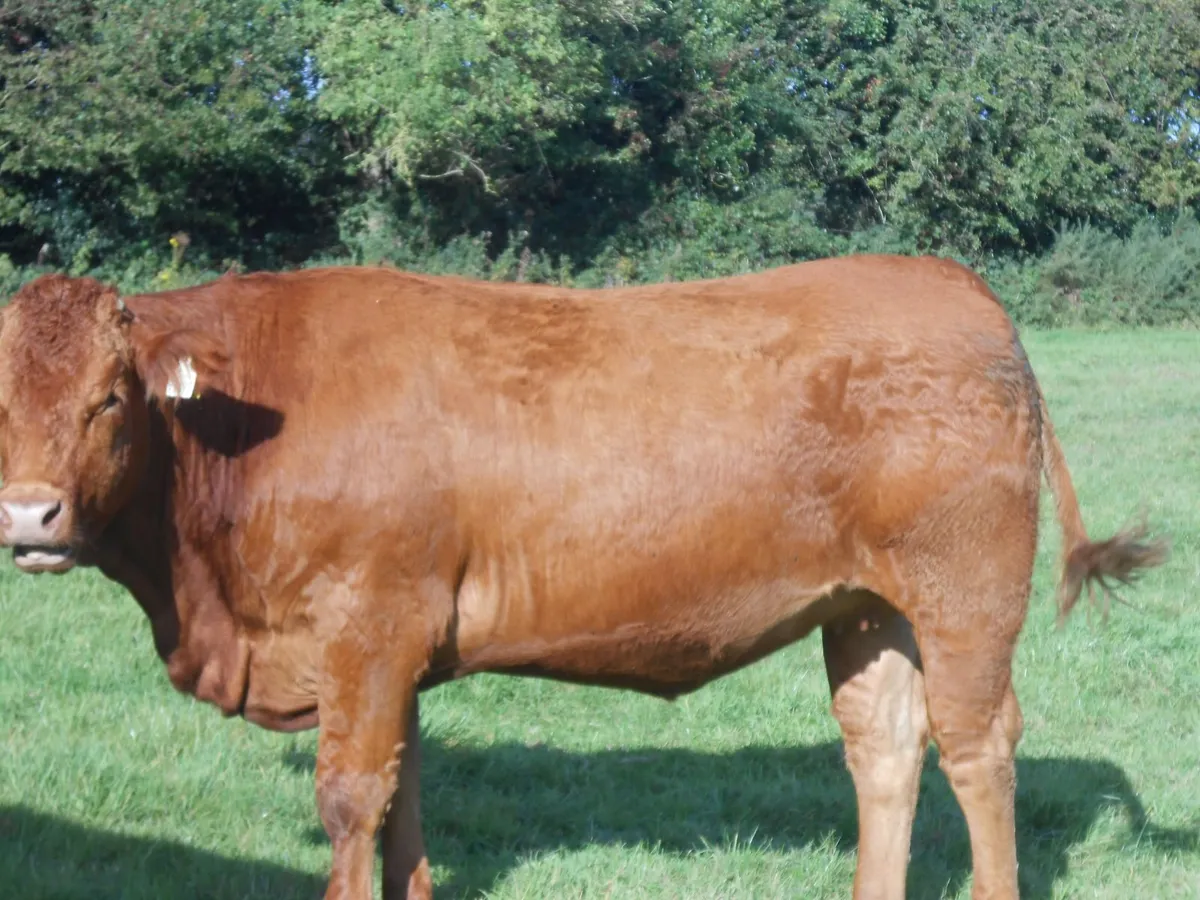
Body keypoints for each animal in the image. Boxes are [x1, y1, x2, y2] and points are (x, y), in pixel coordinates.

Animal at [0, 257, 1166, 900]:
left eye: (111, 399)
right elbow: (404, 801)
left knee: (977, 749)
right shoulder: (392, 653)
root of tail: (951, 284)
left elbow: (351, 800)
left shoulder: (367, 626)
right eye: (1, 400)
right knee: (884, 748)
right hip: (869, 609)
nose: (28, 515)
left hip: (967, 598)